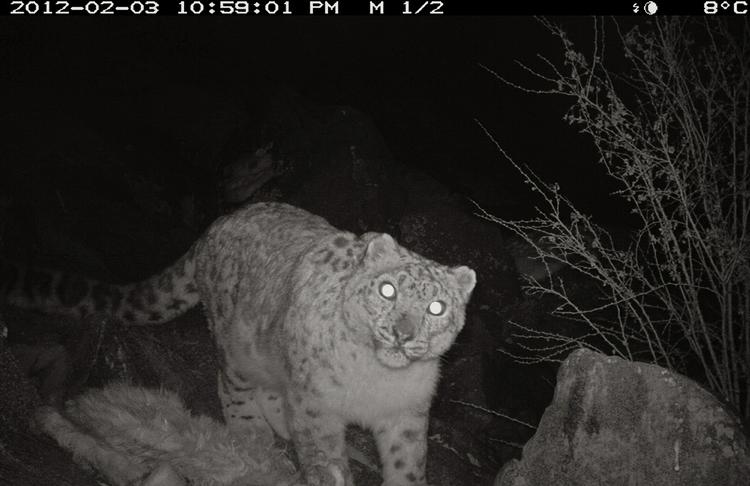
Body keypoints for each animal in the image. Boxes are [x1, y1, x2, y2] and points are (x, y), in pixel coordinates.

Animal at [0, 201, 476, 486]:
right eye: (387, 290)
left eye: (436, 307)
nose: (403, 333)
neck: (376, 380)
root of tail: (219, 222)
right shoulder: (316, 406)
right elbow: (325, 460)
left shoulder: (405, 415)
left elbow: (407, 466)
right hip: (237, 343)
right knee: (232, 385)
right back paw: (254, 433)